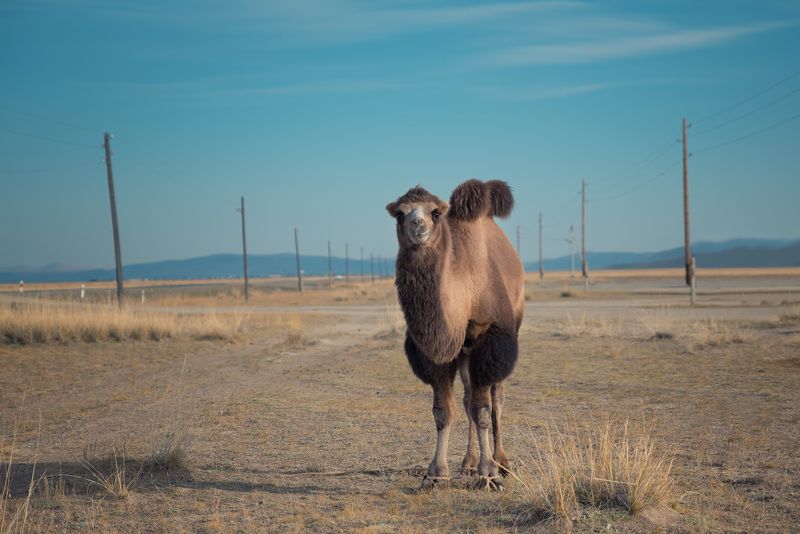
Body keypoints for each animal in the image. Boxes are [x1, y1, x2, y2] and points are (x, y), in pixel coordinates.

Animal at [386, 181, 524, 494]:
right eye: (400, 214)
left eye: (435, 213)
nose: (418, 225)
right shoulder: (437, 352)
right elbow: (443, 411)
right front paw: (436, 474)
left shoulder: (490, 340)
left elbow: (483, 409)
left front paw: (489, 474)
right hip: (464, 353)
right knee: (466, 398)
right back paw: (469, 462)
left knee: (496, 398)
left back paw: (501, 461)